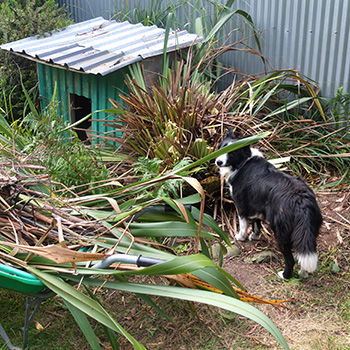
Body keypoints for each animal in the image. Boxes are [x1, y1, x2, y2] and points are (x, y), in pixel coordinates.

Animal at [216, 129, 322, 278]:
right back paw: (303, 274)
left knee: (290, 259)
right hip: (309, 229)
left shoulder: (241, 205)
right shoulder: (256, 203)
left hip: (281, 231)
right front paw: (254, 236)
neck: (243, 161)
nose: (218, 162)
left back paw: (285, 275)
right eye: (222, 148)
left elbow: (243, 224)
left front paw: (240, 237)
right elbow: (256, 222)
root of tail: (301, 200)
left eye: (232, 152)